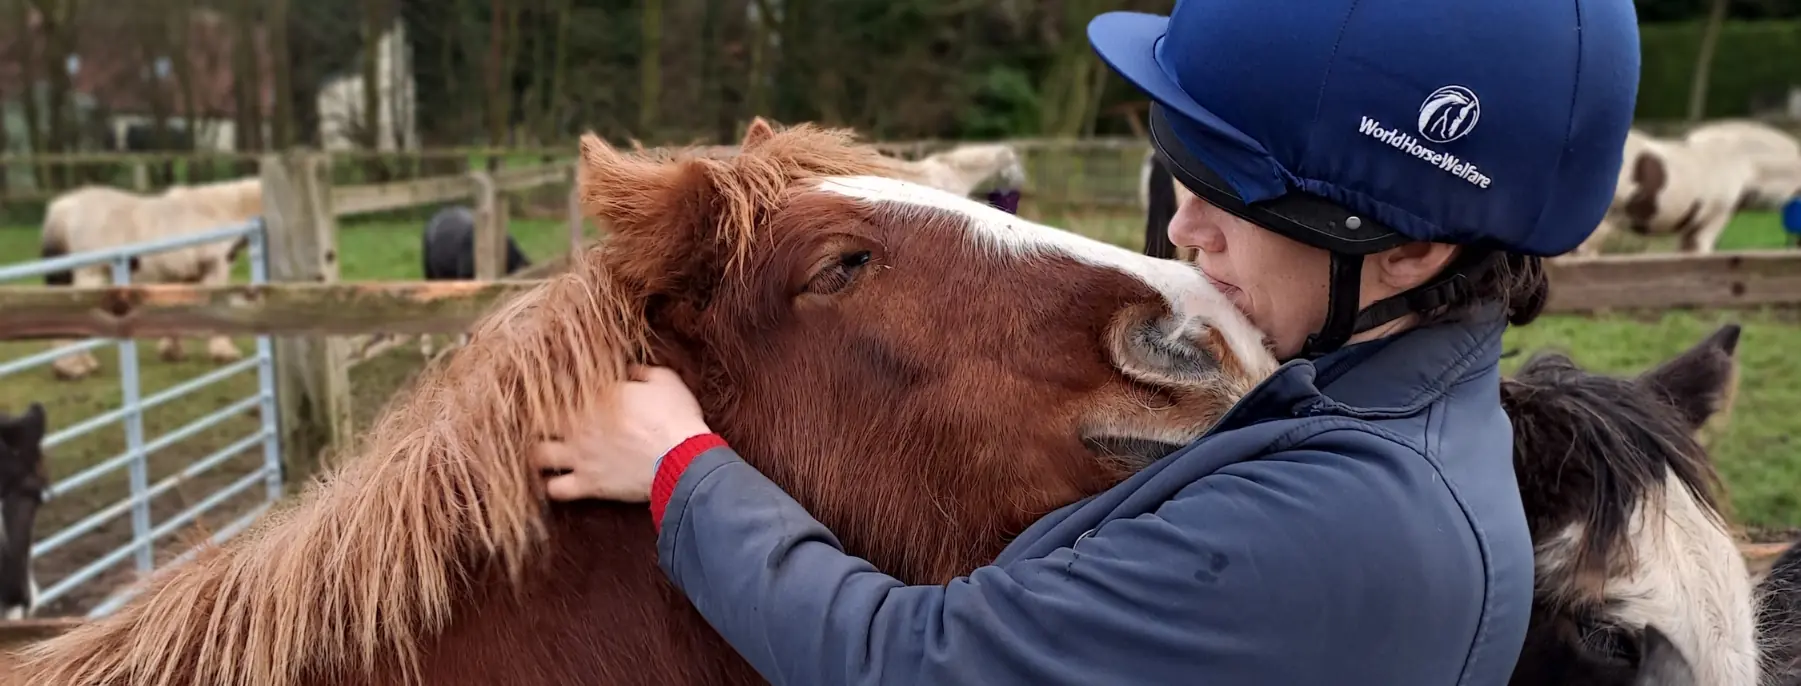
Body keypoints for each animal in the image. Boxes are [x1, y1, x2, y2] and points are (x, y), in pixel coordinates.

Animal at [37, 177, 263, 380]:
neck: (217, 211)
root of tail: (64, 208)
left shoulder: (182, 276)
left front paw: (172, 352)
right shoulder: (215, 270)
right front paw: (224, 353)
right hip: (90, 277)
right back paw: (73, 369)